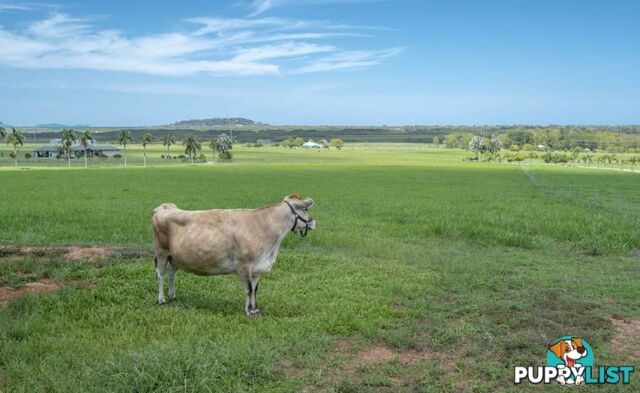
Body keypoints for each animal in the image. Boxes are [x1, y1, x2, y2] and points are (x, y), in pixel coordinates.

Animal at [151, 194, 316, 316]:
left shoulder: (256, 268)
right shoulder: (244, 265)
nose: (313, 222)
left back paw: (172, 295)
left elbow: (255, 290)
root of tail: (165, 206)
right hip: (161, 252)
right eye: (306, 209)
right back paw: (161, 299)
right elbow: (248, 290)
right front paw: (248, 312)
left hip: (174, 257)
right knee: (161, 274)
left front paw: (255, 309)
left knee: (171, 274)